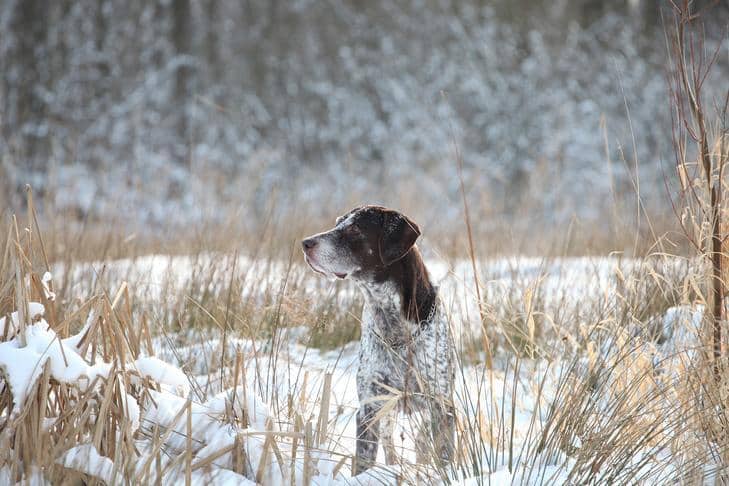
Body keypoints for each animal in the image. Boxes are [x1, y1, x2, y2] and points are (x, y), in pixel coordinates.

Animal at [298, 205, 452, 474]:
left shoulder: (440, 407)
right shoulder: (370, 408)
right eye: (337, 223)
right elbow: (364, 460)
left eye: (354, 229)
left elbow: (445, 457)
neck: (394, 327)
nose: (306, 243)